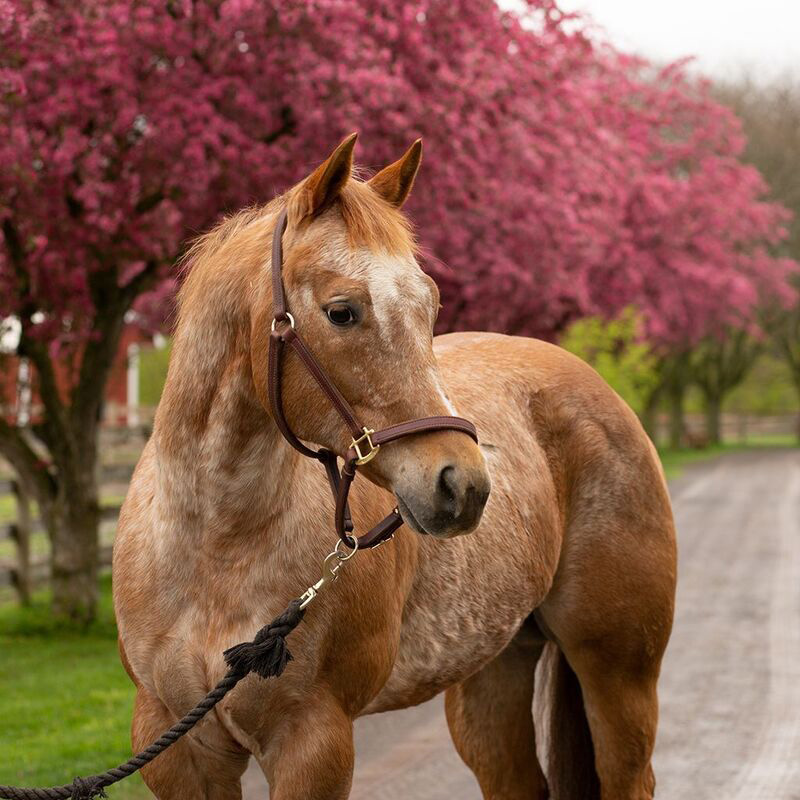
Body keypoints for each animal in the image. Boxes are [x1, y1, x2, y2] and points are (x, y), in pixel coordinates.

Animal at [112, 134, 676, 796]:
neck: (215, 549)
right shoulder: (178, 746)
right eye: (341, 311)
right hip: (493, 675)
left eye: (430, 306)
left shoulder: (313, 742)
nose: (463, 484)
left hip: (618, 678)